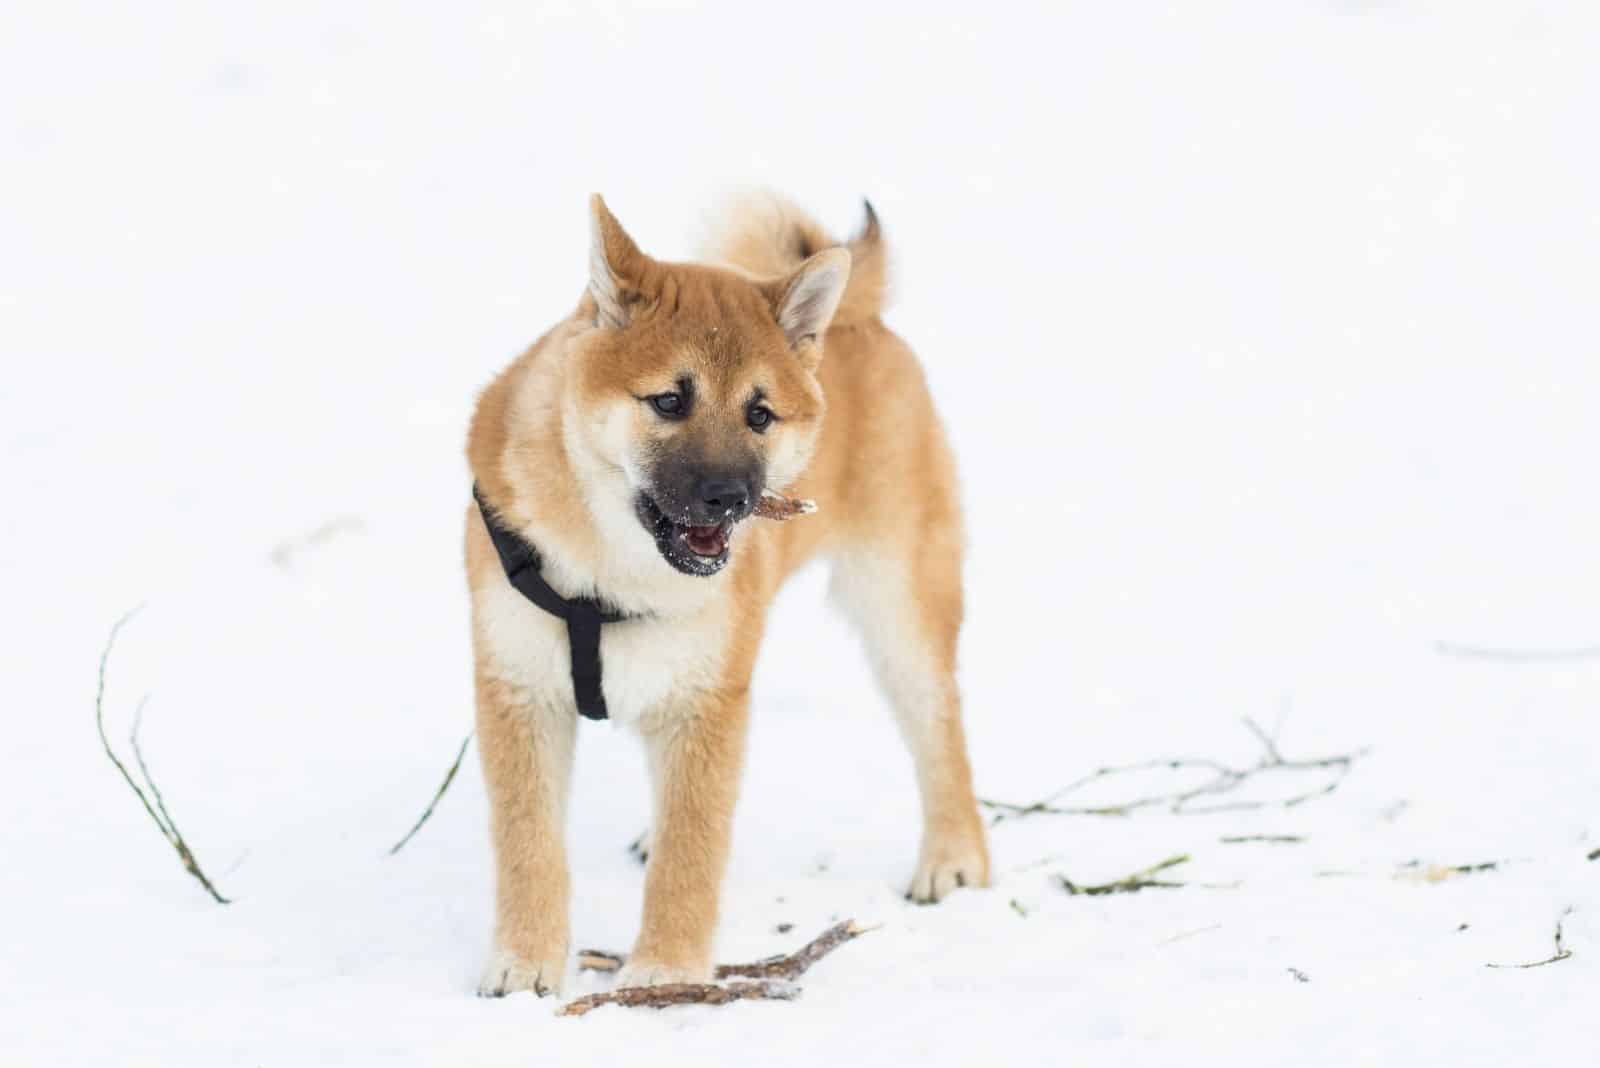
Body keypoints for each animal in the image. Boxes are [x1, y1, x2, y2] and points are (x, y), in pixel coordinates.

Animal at [464, 189, 985, 991]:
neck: (609, 569)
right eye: (670, 401)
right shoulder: (519, 690)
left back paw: (955, 858)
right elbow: (529, 844)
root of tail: (858, 315)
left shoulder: (708, 699)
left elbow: (691, 853)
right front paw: (525, 962)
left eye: (759, 414)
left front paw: (664, 973)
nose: (731, 498)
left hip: (899, 606)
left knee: (941, 727)